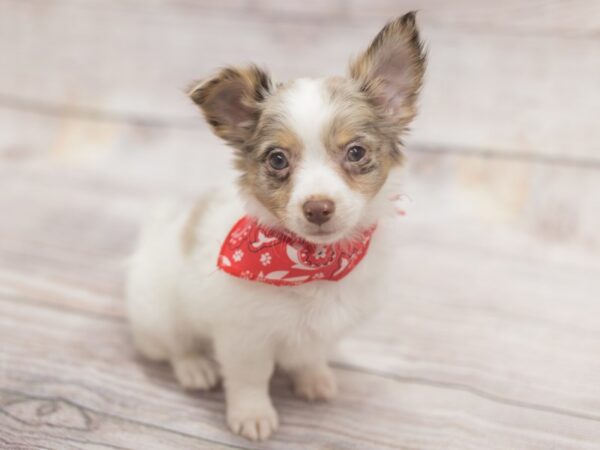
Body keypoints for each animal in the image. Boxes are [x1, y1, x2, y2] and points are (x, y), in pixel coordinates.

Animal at [127, 11, 426, 442]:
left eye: (356, 152)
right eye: (278, 160)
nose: (318, 207)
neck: (313, 263)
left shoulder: (322, 331)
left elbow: (310, 356)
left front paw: (313, 378)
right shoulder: (243, 338)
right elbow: (250, 379)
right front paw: (253, 415)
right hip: (159, 314)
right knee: (172, 347)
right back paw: (195, 367)